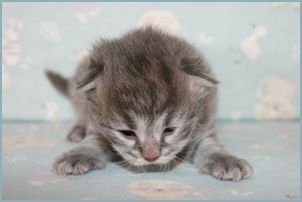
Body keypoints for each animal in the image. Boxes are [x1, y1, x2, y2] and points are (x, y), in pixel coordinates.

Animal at [46, 27, 252, 181]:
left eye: (169, 130)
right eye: (127, 133)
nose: (151, 157)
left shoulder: (203, 123)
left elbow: (209, 144)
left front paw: (226, 160)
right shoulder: (96, 124)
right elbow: (92, 141)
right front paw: (77, 155)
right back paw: (78, 129)